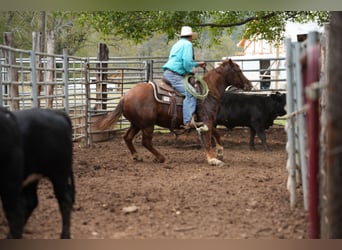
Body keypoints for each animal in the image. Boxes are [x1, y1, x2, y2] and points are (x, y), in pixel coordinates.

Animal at [0, 108, 75, 239]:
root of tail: (57, 113)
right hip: (32, 177)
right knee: (30, 202)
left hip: (58, 174)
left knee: (64, 200)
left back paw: (64, 235)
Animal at [93, 58, 251, 167]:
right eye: (238, 70)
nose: (249, 85)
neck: (208, 92)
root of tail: (125, 96)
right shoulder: (207, 119)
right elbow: (207, 138)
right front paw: (213, 159)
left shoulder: (207, 121)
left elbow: (216, 133)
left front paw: (220, 152)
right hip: (148, 124)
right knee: (146, 142)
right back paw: (161, 157)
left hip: (137, 123)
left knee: (127, 137)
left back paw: (137, 156)